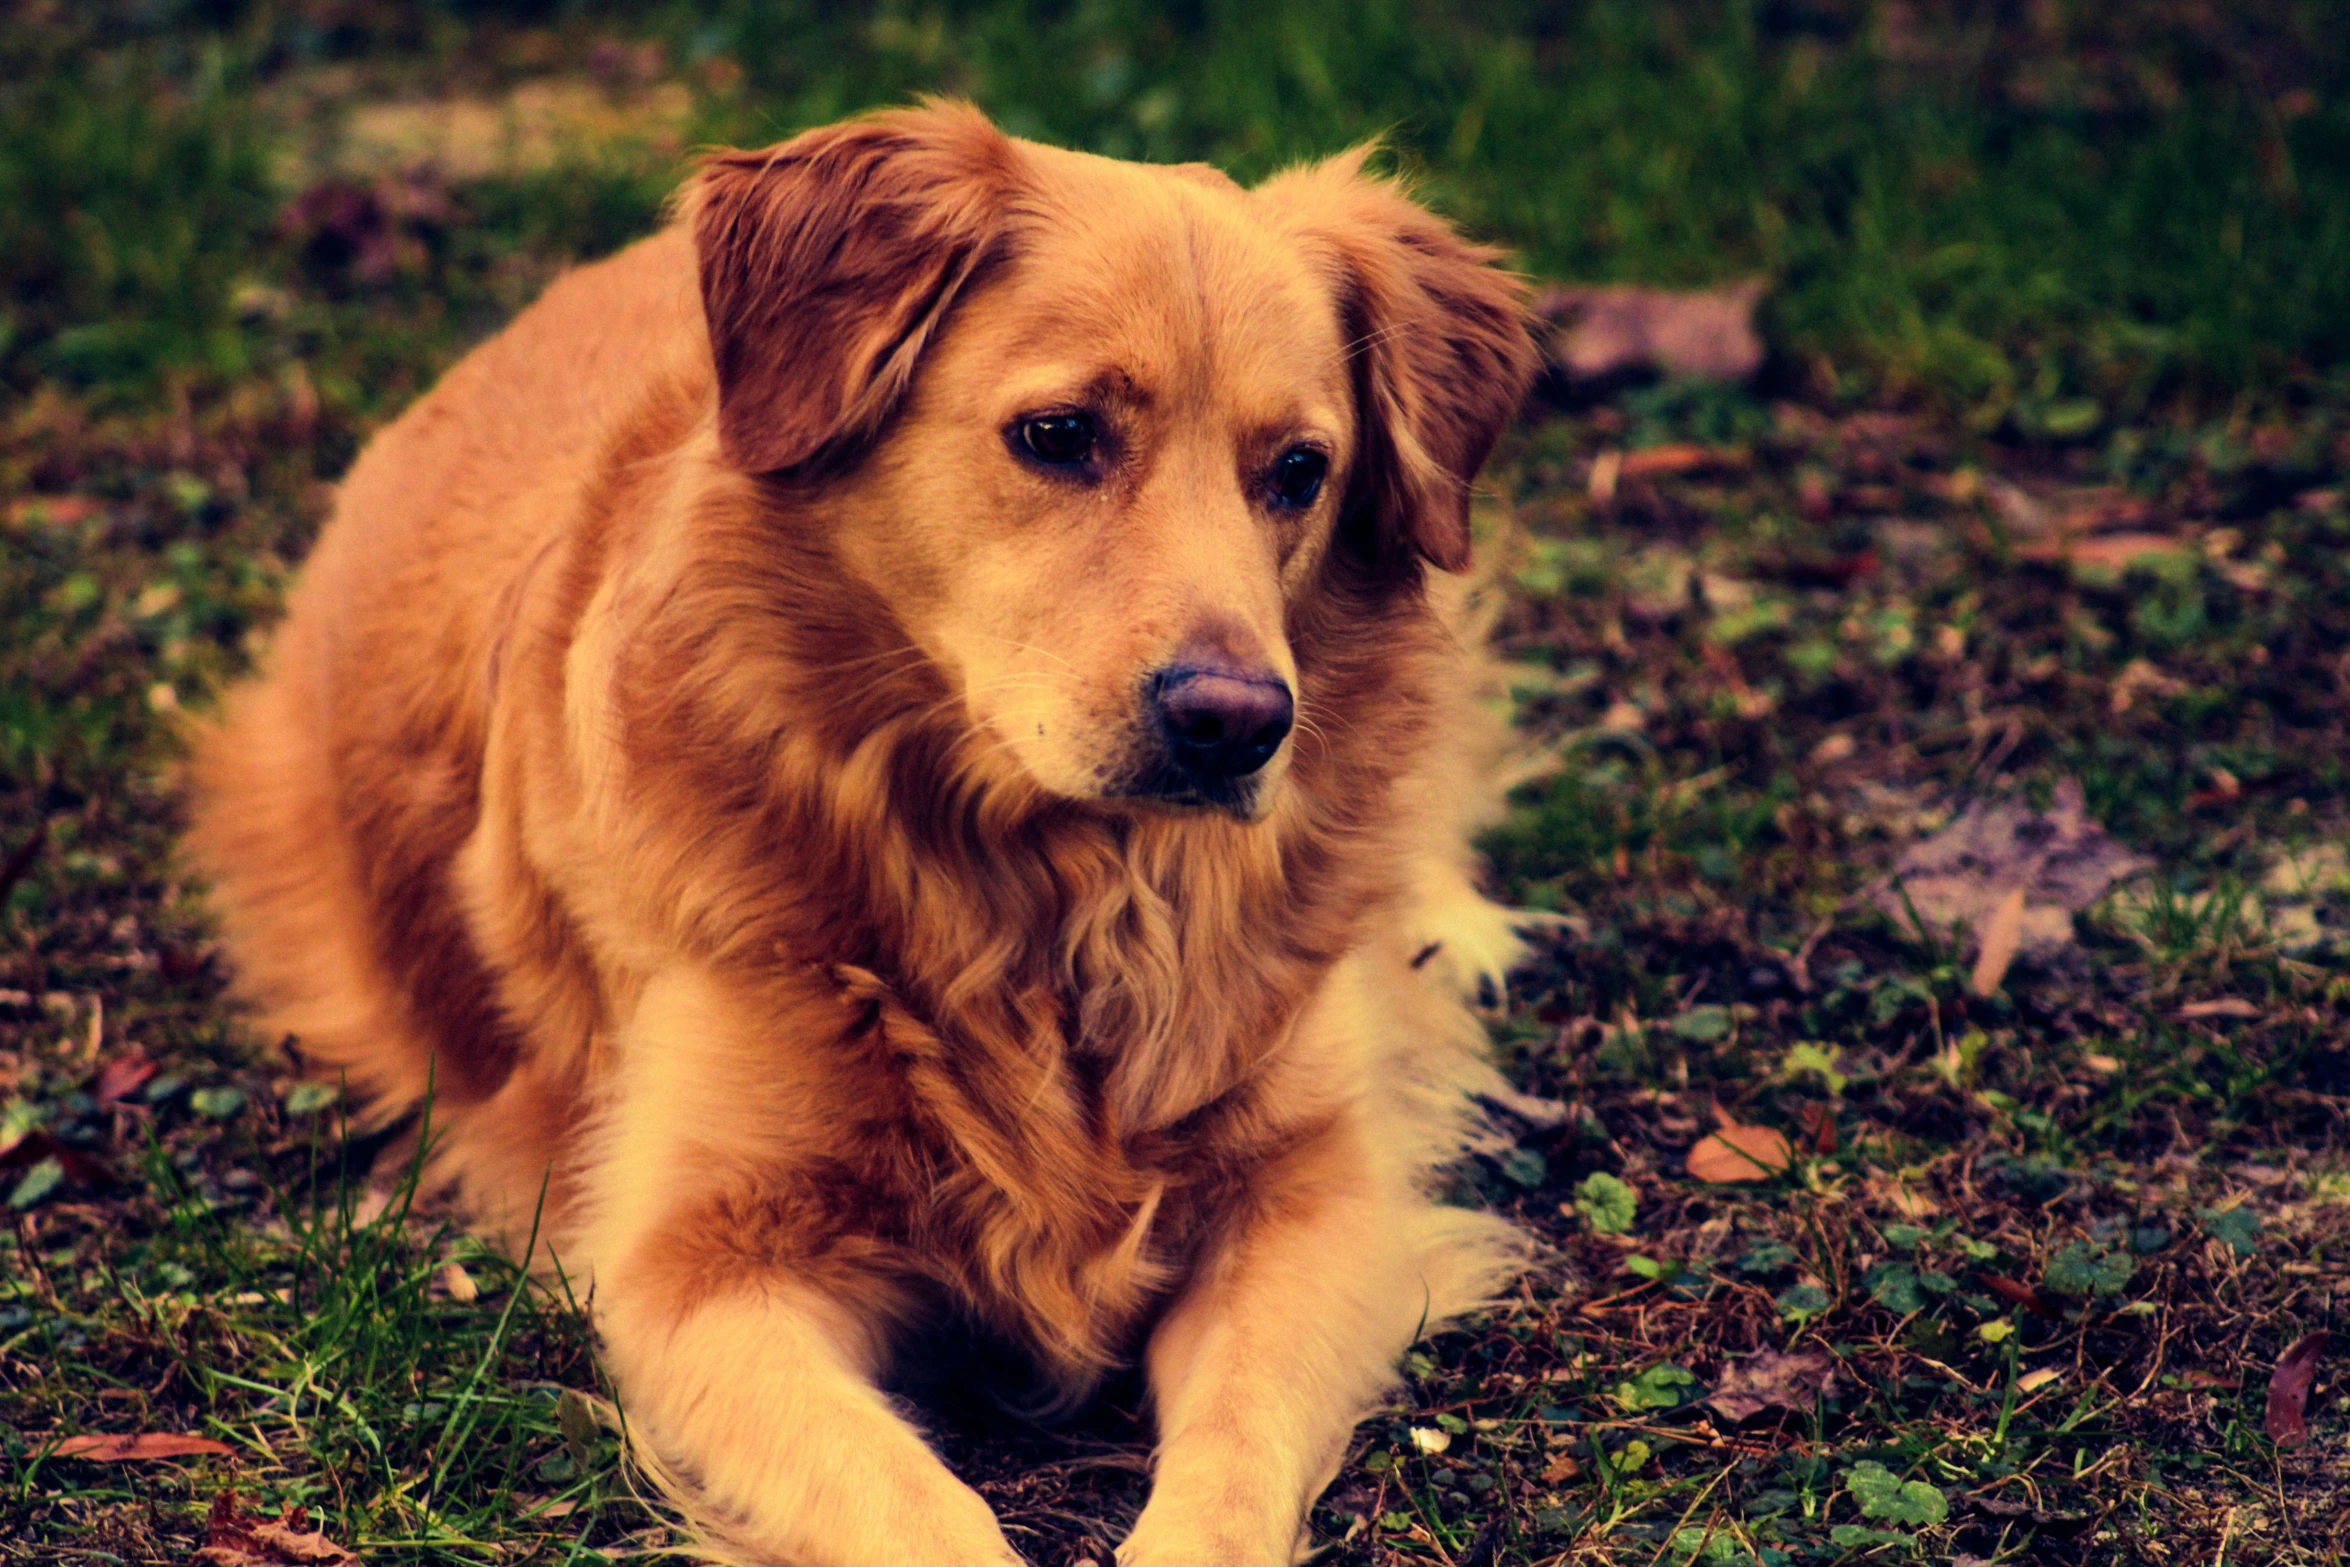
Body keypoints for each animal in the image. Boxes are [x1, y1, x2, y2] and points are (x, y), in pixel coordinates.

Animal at [188, 101, 1541, 1567]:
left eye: (1298, 471)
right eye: (1058, 433)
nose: (1236, 723)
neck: (1039, 895)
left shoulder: (1311, 1191)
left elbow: (1233, 1457)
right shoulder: (699, 1266)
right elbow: (911, 1502)